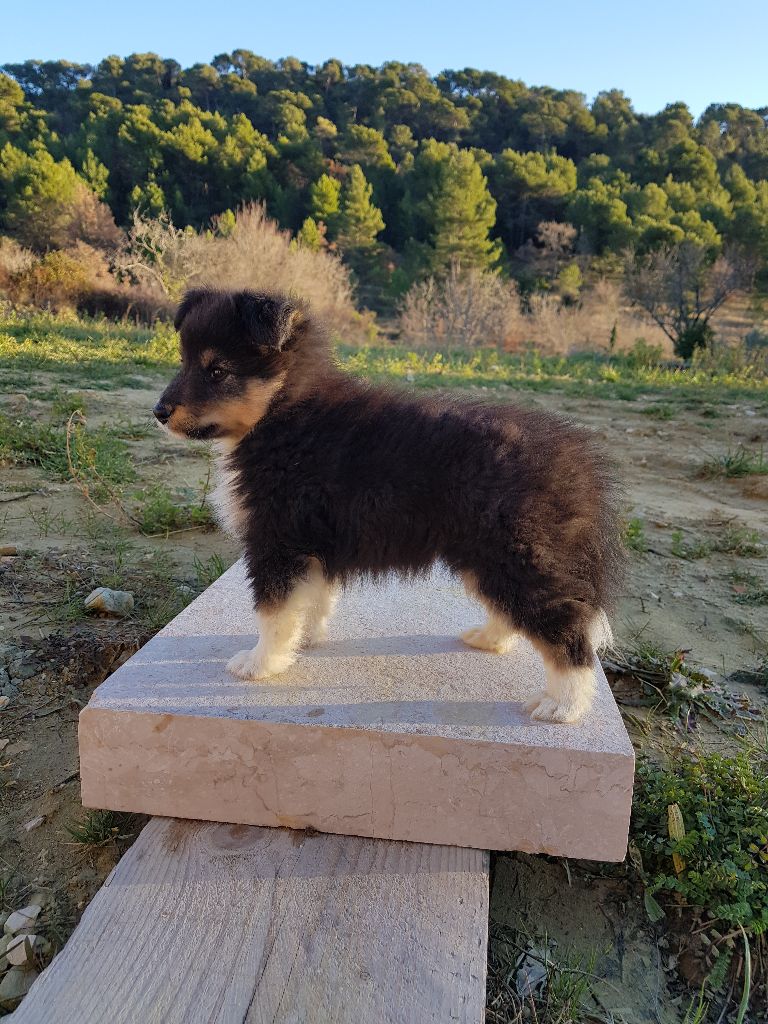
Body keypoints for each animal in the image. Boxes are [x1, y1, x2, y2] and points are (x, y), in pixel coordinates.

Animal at [156, 284, 626, 724]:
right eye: (184, 361)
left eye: (218, 371)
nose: (159, 412)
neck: (283, 412)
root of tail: (579, 466)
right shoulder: (312, 545)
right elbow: (309, 601)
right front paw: (304, 641)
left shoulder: (277, 540)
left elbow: (273, 613)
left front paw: (259, 664)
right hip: (490, 559)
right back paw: (489, 639)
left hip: (517, 557)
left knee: (567, 631)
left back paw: (563, 705)